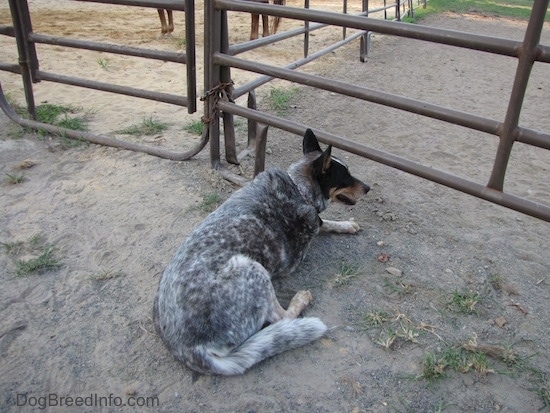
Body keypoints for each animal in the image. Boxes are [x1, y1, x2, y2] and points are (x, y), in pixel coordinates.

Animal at [155, 129, 370, 374]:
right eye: (346, 177)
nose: (368, 187)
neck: (298, 189)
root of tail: (189, 350)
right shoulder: (299, 250)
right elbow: (321, 223)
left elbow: (326, 222)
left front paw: (347, 225)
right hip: (252, 268)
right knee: (279, 317)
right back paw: (300, 299)